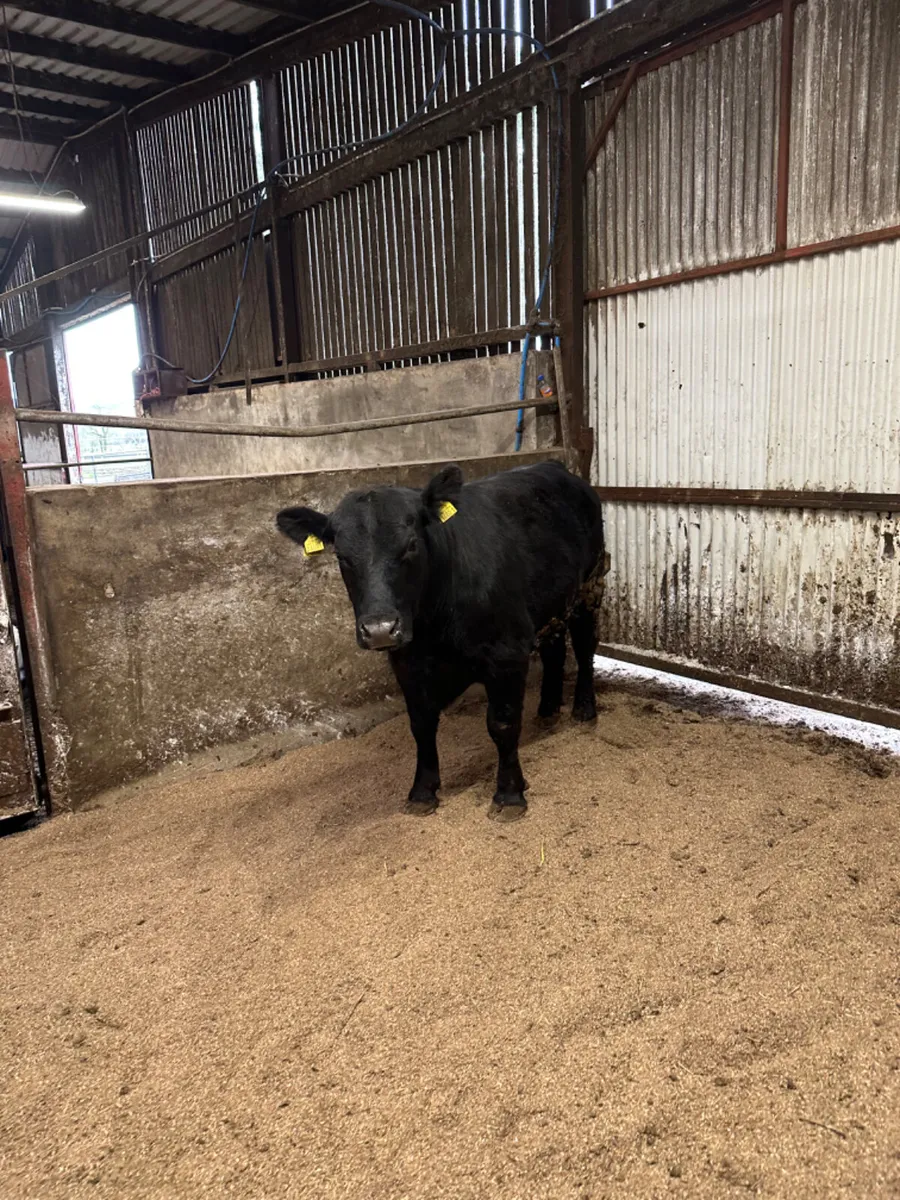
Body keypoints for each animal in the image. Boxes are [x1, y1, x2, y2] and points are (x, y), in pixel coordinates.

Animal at [276, 459, 606, 819]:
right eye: (342, 556)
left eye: (411, 545)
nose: (379, 629)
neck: (435, 626)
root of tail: (554, 465)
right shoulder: (407, 662)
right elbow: (421, 725)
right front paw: (422, 791)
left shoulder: (507, 652)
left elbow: (502, 723)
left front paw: (509, 794)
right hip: (552, 604)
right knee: (554, 650)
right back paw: (547, 711)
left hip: (590, 587)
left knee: (584, 646)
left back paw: (584, 710)